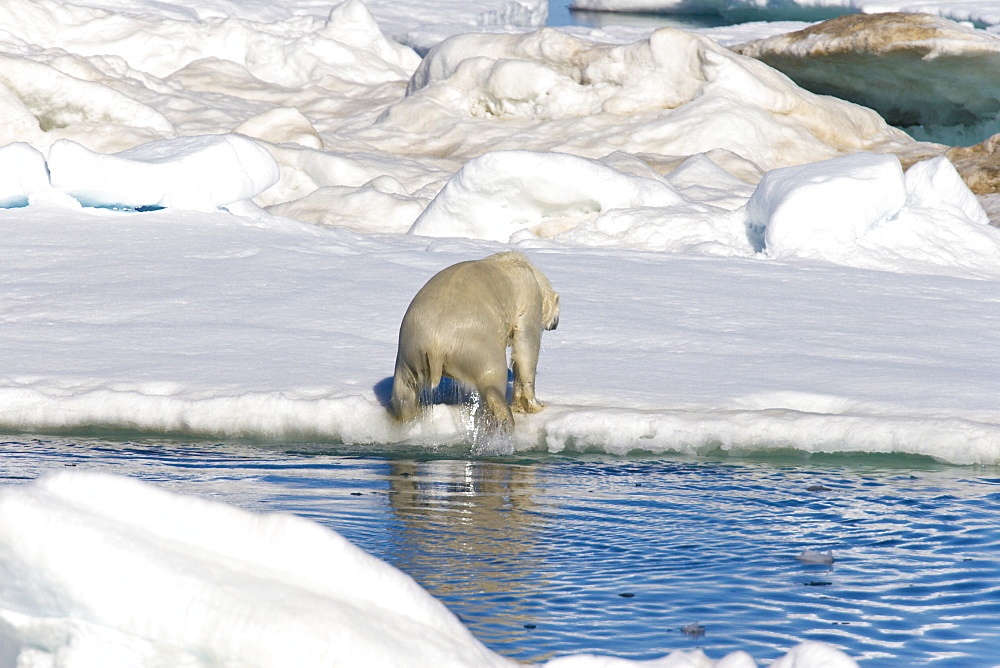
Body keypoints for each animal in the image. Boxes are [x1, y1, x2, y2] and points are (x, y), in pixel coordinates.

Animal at [388, 252, 560, 434]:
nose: (555, 324)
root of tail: (437, 343)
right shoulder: (528, 299)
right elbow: (526, 347)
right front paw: (534, 406)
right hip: (476, 346)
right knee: (492, 380)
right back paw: (504, 422)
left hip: (411, 348)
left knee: (405, 389)